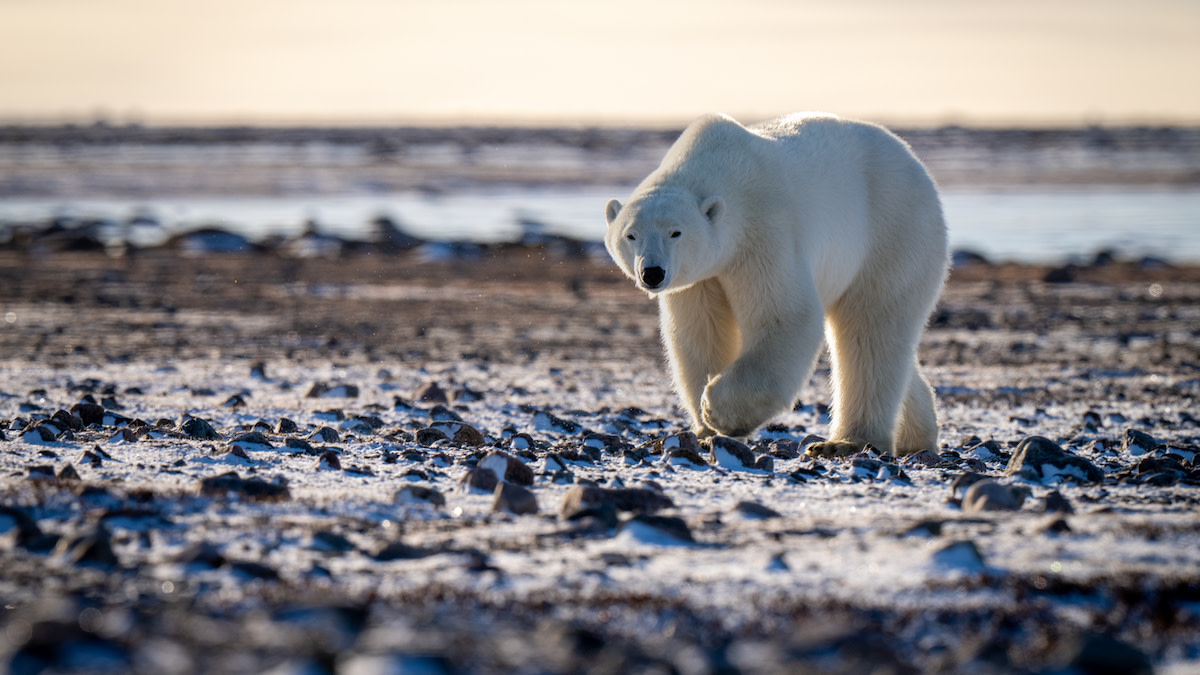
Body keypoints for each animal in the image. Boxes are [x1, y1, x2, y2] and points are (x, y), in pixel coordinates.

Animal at [604, 111, 950, 456]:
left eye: (675, 232)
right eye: (631, 235)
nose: (652, 273)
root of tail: (915, 163)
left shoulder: (763, 231)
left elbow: (786, 316)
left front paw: (717, 411)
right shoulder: (701, 277)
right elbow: (701, 332)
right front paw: (704, 431)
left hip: (892, 231)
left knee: (869, 328)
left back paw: (845, 442)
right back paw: (915, 437)